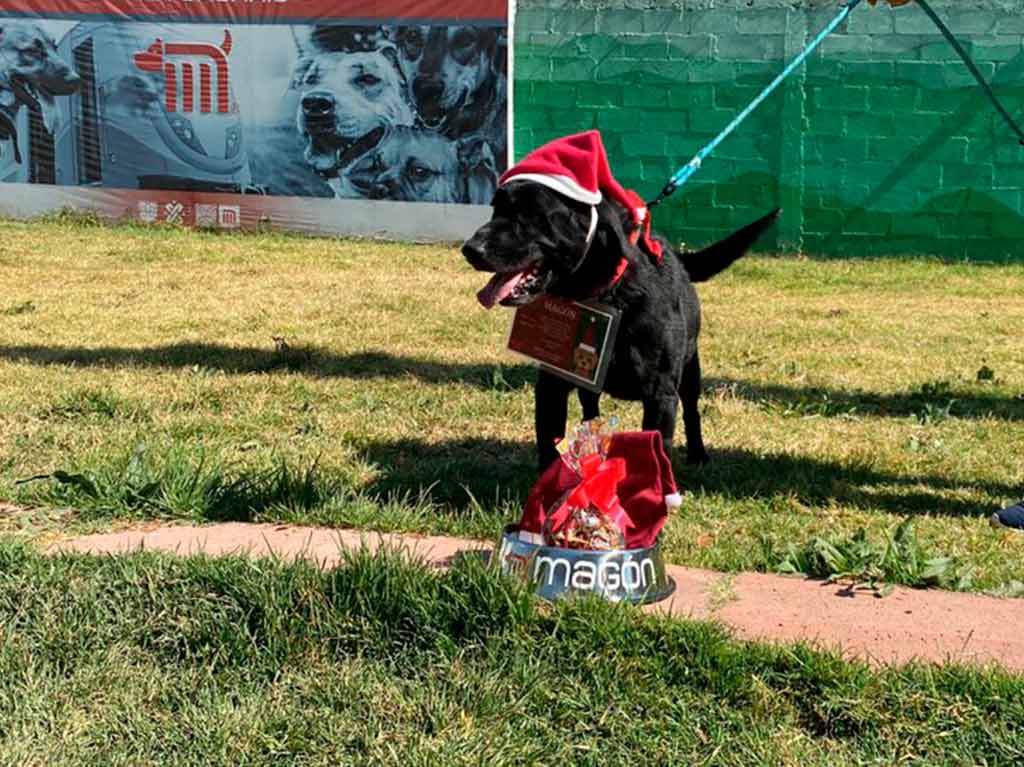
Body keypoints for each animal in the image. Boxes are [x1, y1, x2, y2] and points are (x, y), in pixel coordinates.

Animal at [464, 181, 774, 466]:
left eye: (529, 214)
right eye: (495, 209)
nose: (470, 249)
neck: (607, 292)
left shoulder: (661, 393)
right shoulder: (552, 384)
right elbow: (548, 446)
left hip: (690, 371)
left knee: (692, 410)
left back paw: (698, 454)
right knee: (590, 410)